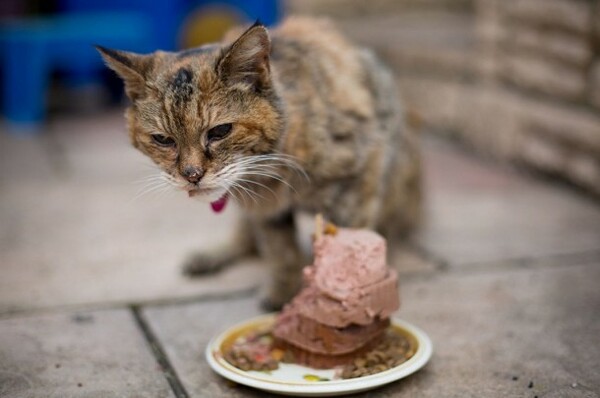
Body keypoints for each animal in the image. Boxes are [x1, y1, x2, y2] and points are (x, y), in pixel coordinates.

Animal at [97, 16, 422, 308]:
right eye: (163, 139)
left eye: (220, 131)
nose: (191, 174)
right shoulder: (264, 210)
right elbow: (280, 252)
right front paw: (282, 293)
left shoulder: (357, 186)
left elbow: (345, 244)